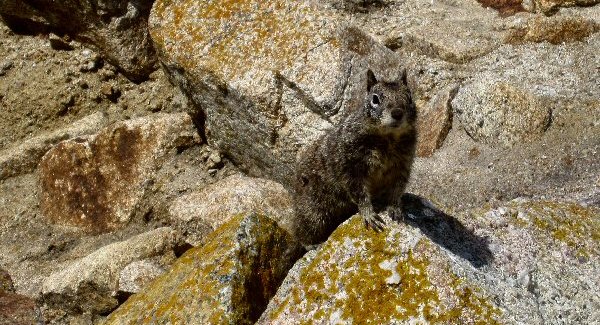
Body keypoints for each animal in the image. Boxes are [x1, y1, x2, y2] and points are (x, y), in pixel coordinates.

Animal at [290, 69, 418, 246]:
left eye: (410, 97)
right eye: (375, 99)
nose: (397, 113)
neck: (389, 138)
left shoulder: (403, 165)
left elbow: (397, 190)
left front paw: (395, 208)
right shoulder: (350, 165)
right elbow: (359, 192)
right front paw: (369, 214)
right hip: (314, 211)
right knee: (300, 231)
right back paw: (313, 244)